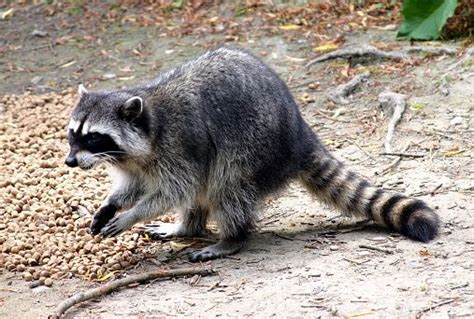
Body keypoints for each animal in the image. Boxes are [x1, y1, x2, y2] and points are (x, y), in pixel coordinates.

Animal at [65, 47, 438, 262]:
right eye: (72, 135)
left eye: (93, 138)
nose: (69, 161)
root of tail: (301, 134)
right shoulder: (137, 161)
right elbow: (136, 186)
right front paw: (112, 203)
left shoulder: (180, 145)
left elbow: (174, 190)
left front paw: (132, 214)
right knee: (206, 190)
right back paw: (187, 227)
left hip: (255, 148)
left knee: (226, 185)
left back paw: (231, 238)